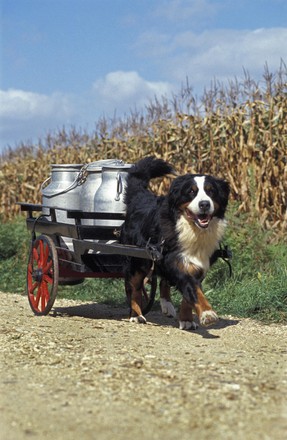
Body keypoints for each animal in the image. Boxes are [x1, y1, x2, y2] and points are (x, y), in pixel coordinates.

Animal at [120, 156, 231, 328]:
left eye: (211, 191)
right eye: (191, 191)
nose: (204, 204)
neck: (193, 231)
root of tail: (141, 197)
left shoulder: (197, 266)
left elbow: (188, 296)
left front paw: (186, 319)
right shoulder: (177, 261)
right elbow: (194, 291)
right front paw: (208, 313)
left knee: (163, 282)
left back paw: (167, 306)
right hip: (137, 260)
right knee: (134, 287)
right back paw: (137, 314)